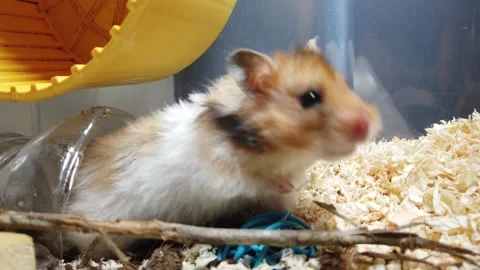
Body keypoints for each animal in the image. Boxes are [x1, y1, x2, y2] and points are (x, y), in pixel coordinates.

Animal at [63, 37, 380, 258]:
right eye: (310, 97)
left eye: (344, 83)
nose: (369, 123)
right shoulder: (220, 176)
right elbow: (254, 182)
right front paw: (285, 184)